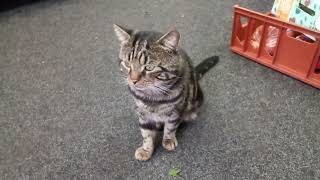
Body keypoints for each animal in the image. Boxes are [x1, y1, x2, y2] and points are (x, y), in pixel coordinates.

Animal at [112, 24, 218, 161]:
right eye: (127, 64)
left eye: (149, 68)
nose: (133, 80)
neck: (152, 97)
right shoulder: (142, 112)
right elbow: (146, 133)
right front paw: (146, 150)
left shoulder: (176, 110)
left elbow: (170, 127)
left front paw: (168, 139)